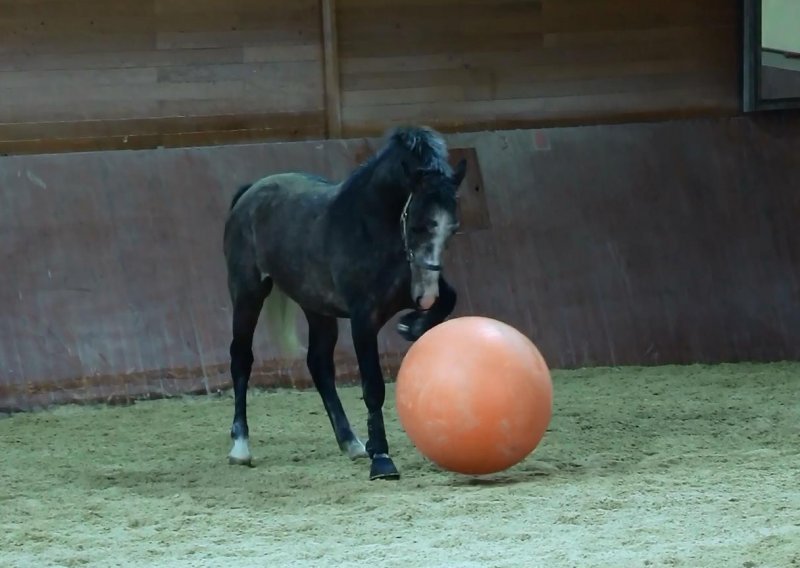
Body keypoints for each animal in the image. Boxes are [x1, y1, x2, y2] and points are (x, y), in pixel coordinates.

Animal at [220, 125, 468, 480]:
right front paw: (382, 459)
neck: (371, 228)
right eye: (418, 224)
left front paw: (412, 325)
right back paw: (240, 446)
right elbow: (373, 387)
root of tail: (249, 193)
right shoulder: (363, 319)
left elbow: (448, 298)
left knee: (319, 365)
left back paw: (351, 442)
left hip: (317, 308)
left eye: (452, 229)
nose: (425, 295)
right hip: (248, 295)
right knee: (241, 359)